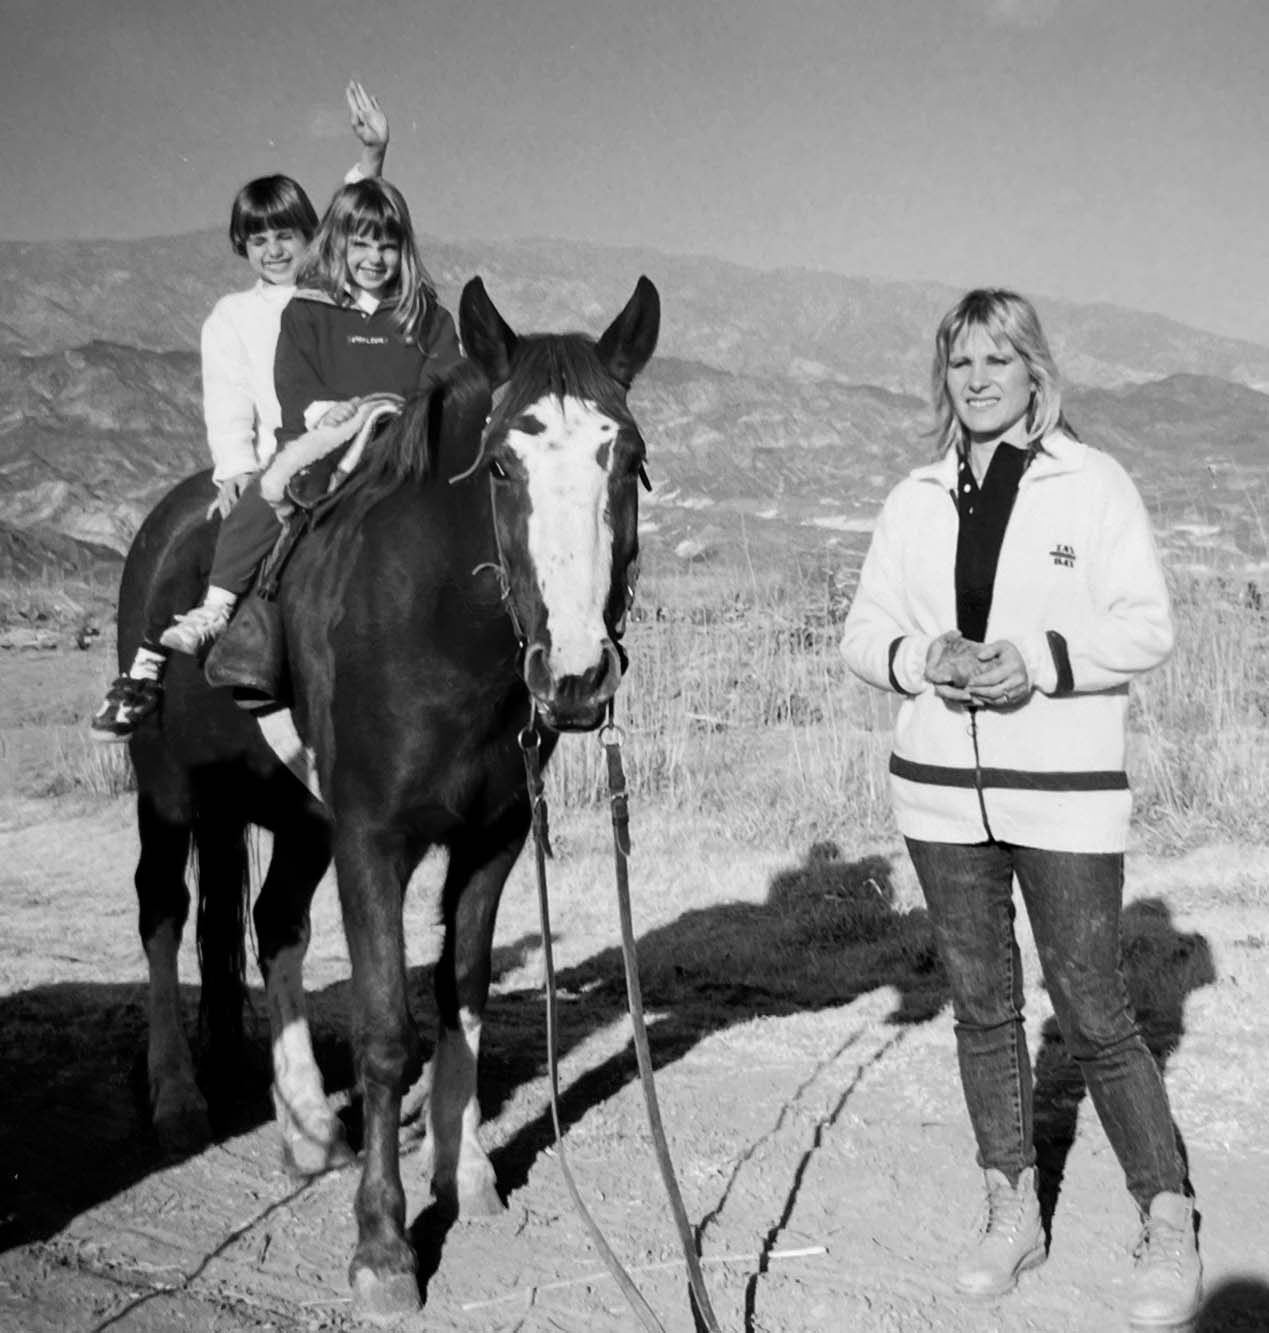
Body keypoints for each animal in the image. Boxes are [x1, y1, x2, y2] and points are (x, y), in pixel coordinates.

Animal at [120, 274, 660, 1318]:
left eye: (627, 458)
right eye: (502, 466)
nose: (576, 674)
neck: (437, 619)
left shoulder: (492, 837)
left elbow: (462, 998)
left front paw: (469, 1170)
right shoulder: (372, 838)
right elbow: (382, 1033)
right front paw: (383, 1243)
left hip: (296, 819)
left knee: (273, 924)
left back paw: (304, 1126)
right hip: (166, 792)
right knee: (163, 912)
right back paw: (175, 1096)